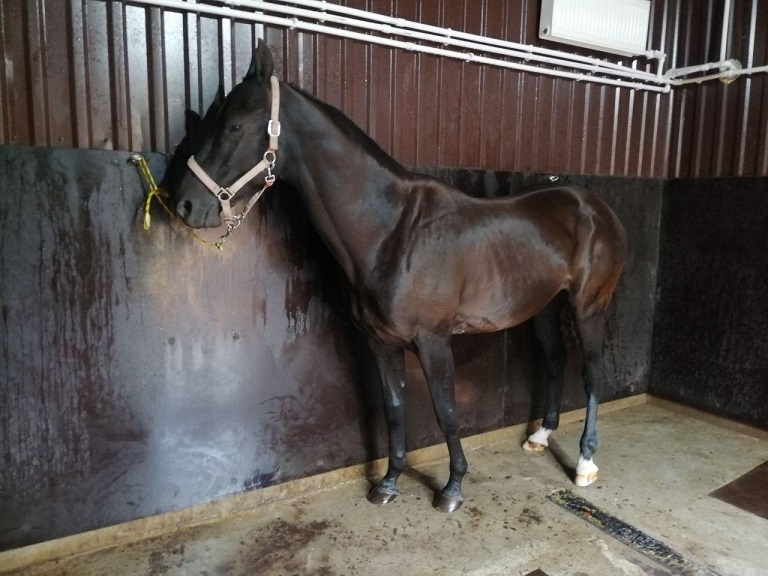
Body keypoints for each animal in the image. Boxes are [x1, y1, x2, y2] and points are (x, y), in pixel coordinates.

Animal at [172, 40, 624, 512]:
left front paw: (452, 488)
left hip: (588, 307)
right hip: (545, 308)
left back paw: (585, 462)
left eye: (234, 126)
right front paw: (389, 482)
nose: (184, 203)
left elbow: (446, 412)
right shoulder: (380, 341)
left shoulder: (433, 341)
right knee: (555, 361)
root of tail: (595, 207)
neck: (390, 231)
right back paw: (540, 435)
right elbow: (393, 408)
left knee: (592, 373)